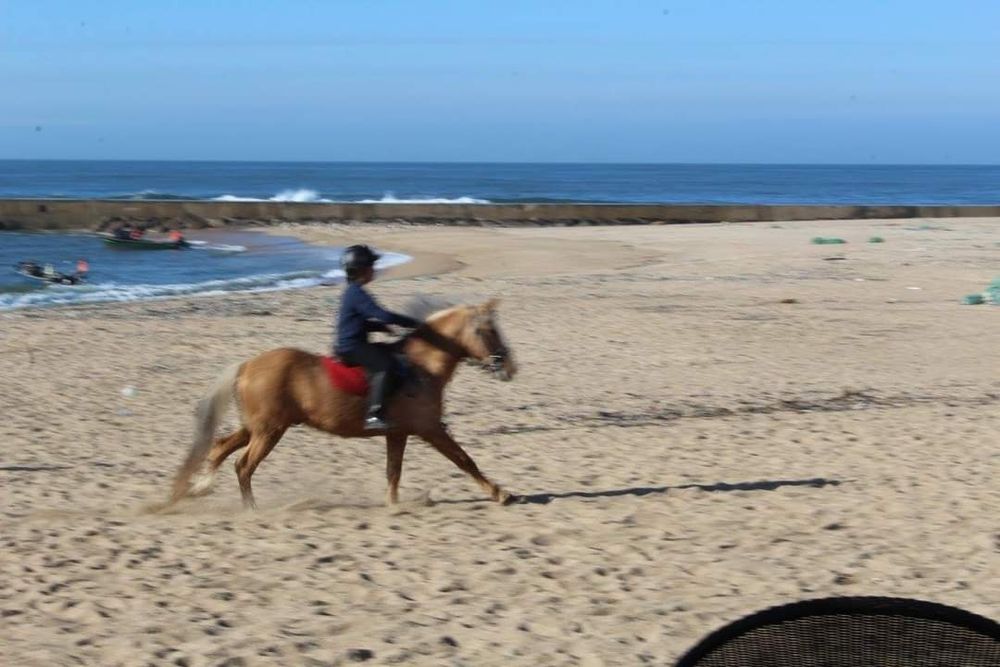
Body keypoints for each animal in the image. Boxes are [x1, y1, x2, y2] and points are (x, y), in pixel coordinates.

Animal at [169, 299, 517, 509]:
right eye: (488, 330)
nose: (510, 367)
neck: (420, 367)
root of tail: (247, 366)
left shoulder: (398, 433)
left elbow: (393, 471)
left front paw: (392, 504)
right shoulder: (430, 429)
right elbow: (464, 460)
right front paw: (500, 493)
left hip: (258, 427)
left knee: (219, 447)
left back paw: (200, 487)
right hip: (269, 432)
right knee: (243, 466)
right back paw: (250, 509)